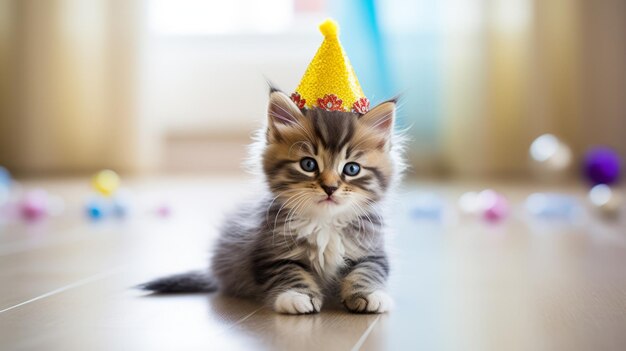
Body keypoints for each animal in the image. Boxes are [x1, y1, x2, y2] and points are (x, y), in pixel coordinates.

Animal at [140, 89, 404, 314]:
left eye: (351, 169)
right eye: (308, 164)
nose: (330, 188)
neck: (324, 222)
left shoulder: (372, 249)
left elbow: (368, 271)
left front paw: (369, 295)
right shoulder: (270, 250)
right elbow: (289, 272)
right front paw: (297, 296)